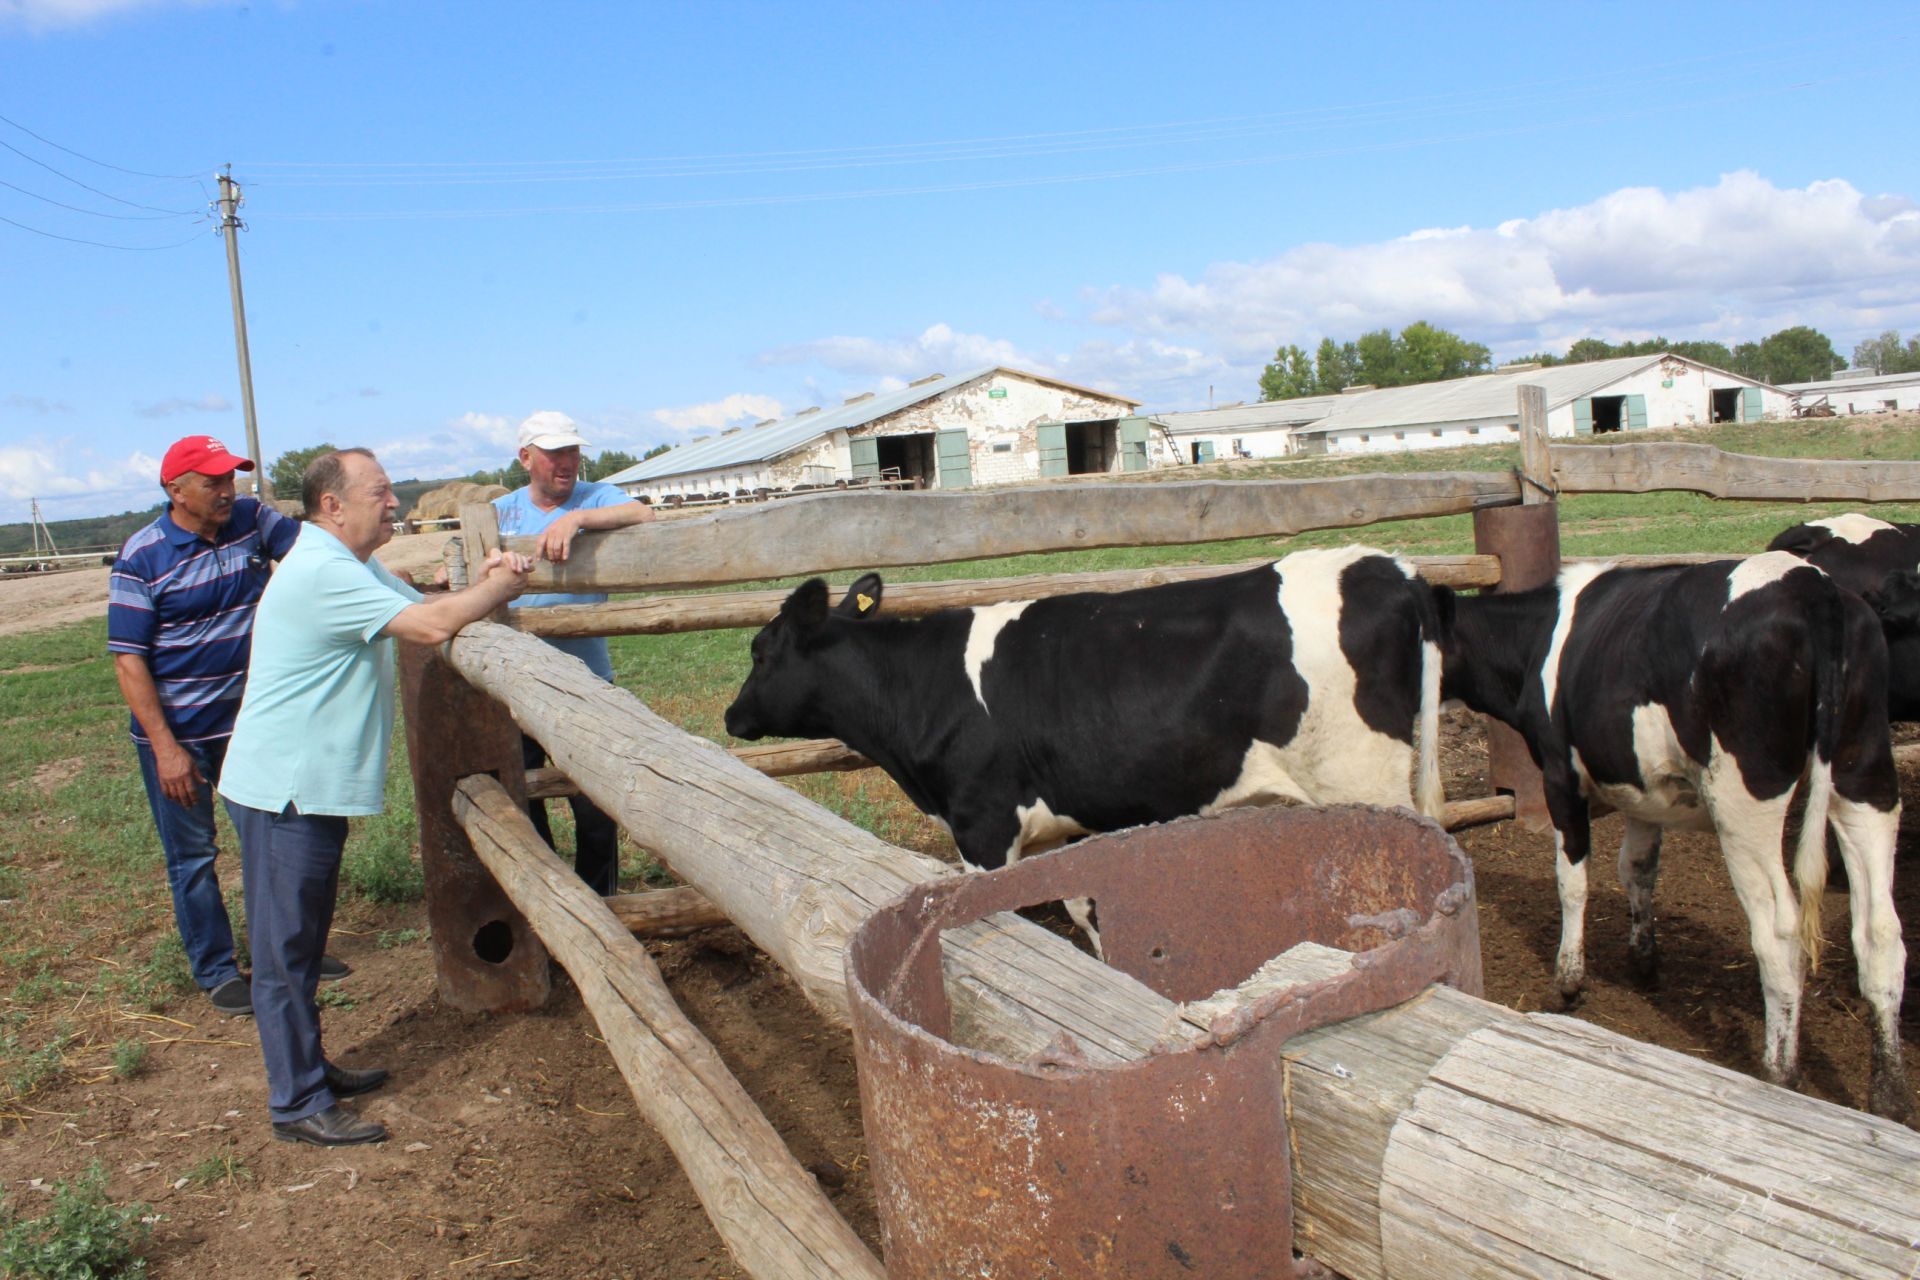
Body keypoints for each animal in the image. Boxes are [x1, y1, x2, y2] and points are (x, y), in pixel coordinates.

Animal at [725, 545, 1443, 898]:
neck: (922, 687)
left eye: (759, 651)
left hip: (1362, 779)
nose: (731, 716)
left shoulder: (984, 830)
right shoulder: (1051, 830)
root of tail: (1387, 565)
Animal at [1436, 556, 1912, 1113]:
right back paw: (1890, 1095)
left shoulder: (1559, 775)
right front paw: (1643, 959)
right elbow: (1637, 868)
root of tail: (1808, 582)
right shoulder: (1643, 786)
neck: (1537, 641)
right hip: (1866, 777)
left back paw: (1779, 1074)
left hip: (1743, 802)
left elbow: (1572, 881)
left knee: (1779, 930)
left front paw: (1570, 981)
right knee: (1880, 930)